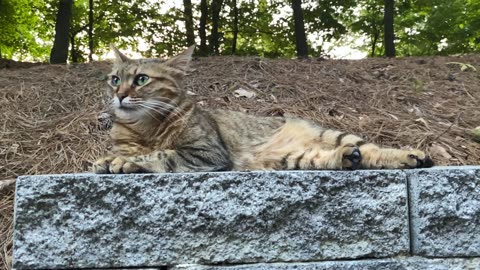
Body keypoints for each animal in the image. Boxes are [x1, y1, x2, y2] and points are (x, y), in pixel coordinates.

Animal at [92, 45, 434, 174]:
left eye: (141, 79)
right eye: (114, 79)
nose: (119, 95)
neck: (144, 128)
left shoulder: (207, 154)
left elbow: (160, 154)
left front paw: (121, 162)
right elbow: (140, 152)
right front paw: (114, 159)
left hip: (333, 133)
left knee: (373, 149)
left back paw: (410, 156)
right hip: (294, 158)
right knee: (337, 158)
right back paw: (347, 158)